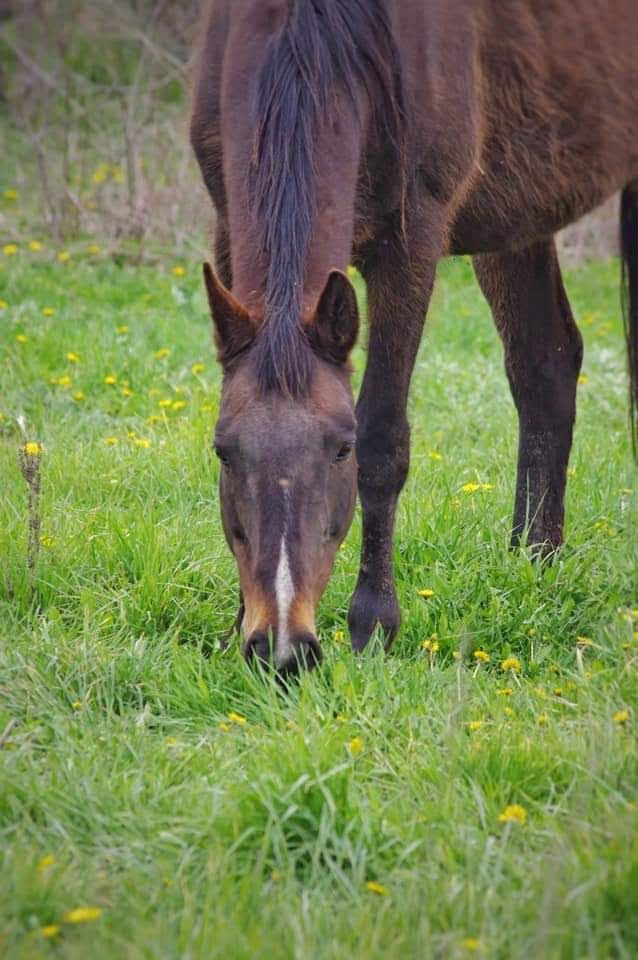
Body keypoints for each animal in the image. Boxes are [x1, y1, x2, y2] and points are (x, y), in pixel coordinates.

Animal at [191, 0, 638, 676]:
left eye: (340, 450)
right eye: (223, 451)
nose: (283, 649)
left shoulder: (411, 244)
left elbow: (386, 439)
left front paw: (373, 625)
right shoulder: (227, 225)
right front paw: (234, 628)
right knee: (546, 365)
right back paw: (534, 565)